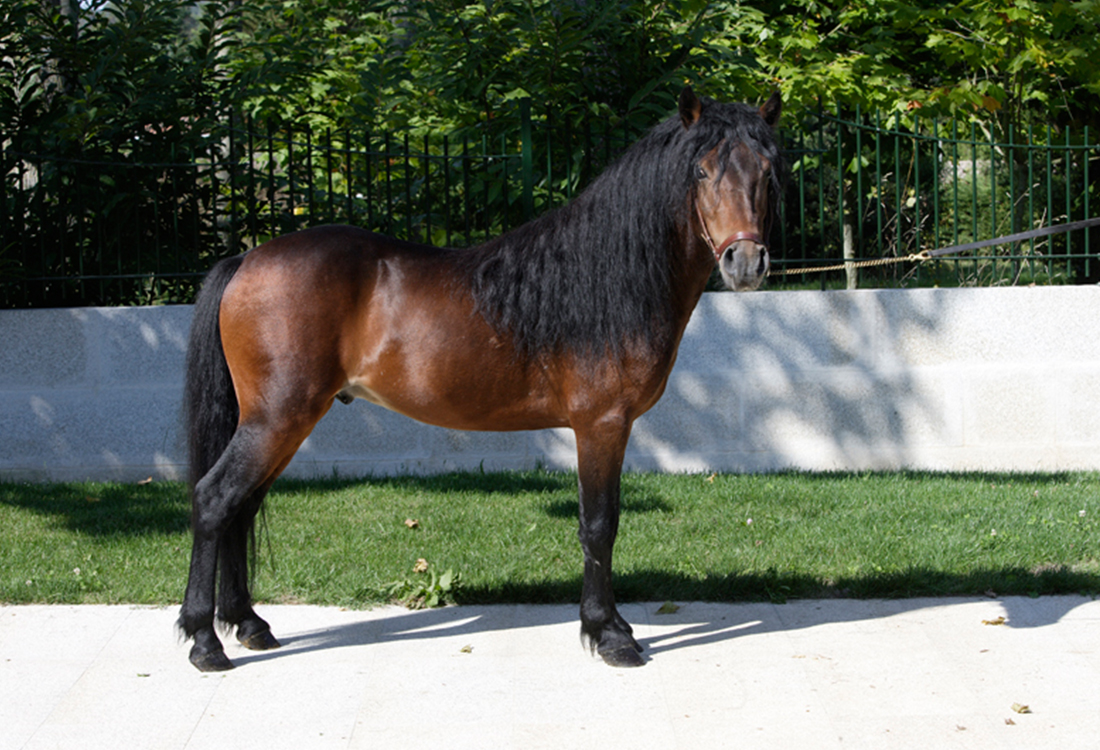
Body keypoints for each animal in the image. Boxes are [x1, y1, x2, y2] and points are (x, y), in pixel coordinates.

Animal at [178, 86, 783, 664]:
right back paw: (205, 642)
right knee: (214, 500)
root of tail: (246, 260)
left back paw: (248, 625)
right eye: (701, 171)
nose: (745, 263)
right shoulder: (602, 425)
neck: (605, 279)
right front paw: (607, 635)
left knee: (240, 507)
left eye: (766, 171)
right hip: (277, 418)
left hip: (280, 424)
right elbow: (598, 525)